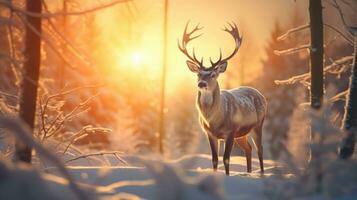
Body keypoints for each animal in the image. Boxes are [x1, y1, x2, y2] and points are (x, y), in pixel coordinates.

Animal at [177, 22, 266, 175]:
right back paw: (248, 172)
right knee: (249, 148)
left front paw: (228, 176)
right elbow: (214, 160)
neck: (214, 121)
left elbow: (226, 159)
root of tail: (260, 94)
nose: (201, 83)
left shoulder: (231, 131)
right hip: (241, 134)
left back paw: (261, 173)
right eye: (198, 74)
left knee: (259, 149)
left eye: (213, 74)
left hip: (258, 124)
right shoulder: (210, 133)